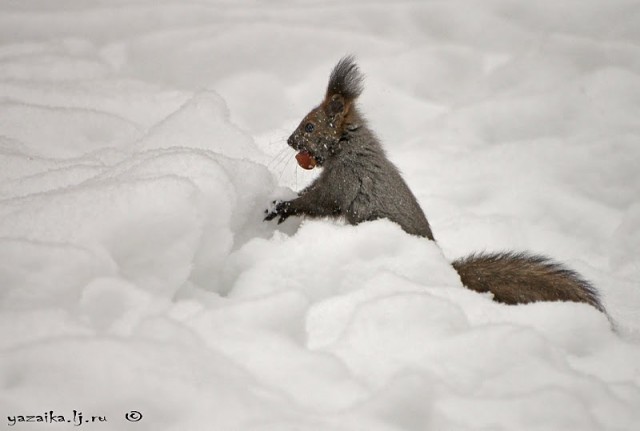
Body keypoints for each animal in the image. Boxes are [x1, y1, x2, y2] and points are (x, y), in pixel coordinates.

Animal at [264, 55, 604, 316]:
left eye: (310, 126)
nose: (290, 141)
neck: (349, 145)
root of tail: (446, 272)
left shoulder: (344, 179)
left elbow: (319, 200)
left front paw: (283, 206)